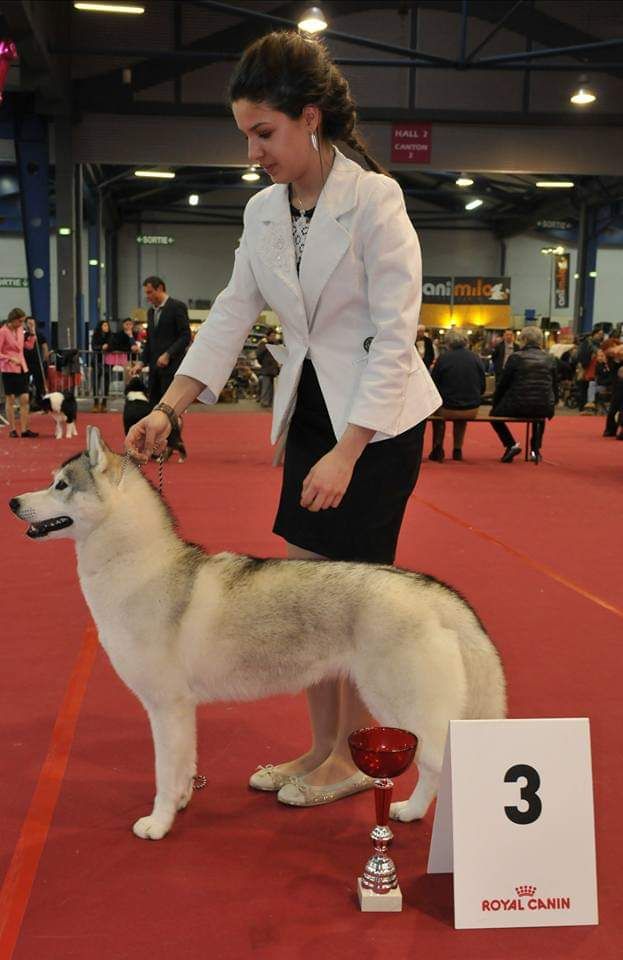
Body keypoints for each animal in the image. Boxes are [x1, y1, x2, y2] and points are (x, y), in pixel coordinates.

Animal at [9, 427, 506, 841]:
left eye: (61, 485)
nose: (13, 502)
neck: (138, 566)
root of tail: (431, 590)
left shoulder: (166, 707)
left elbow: (164, 773)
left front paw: (159, 822)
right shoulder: (181, 711)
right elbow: (184, 765)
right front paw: (183, 801)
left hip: (404, 707)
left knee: (441, 765)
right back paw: (413, 813)